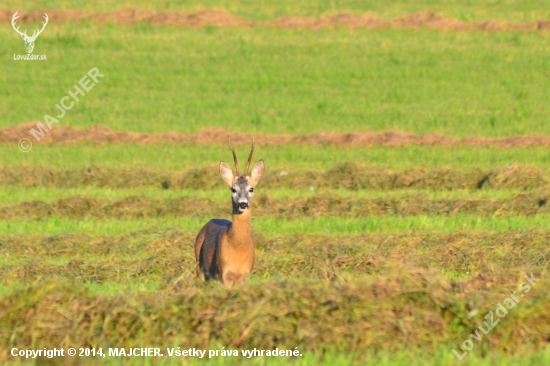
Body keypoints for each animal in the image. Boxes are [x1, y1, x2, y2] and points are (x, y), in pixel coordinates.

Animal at [195, 139, 266, 288]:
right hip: (199, 264)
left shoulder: (244, 276)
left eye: (251, 188)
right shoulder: (224, 274)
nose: (243, 203)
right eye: (233, 189)